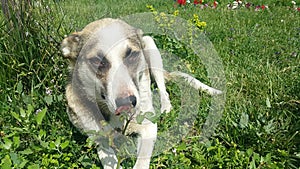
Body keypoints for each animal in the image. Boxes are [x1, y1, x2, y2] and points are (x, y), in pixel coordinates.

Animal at [61, 17, 221, 168]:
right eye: (96, 60)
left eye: (132, 54)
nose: (126, 103)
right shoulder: (99, 140)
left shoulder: (149, 127)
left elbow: (141, 162)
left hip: (151, 48)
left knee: (163, 89)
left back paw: (166, 107)